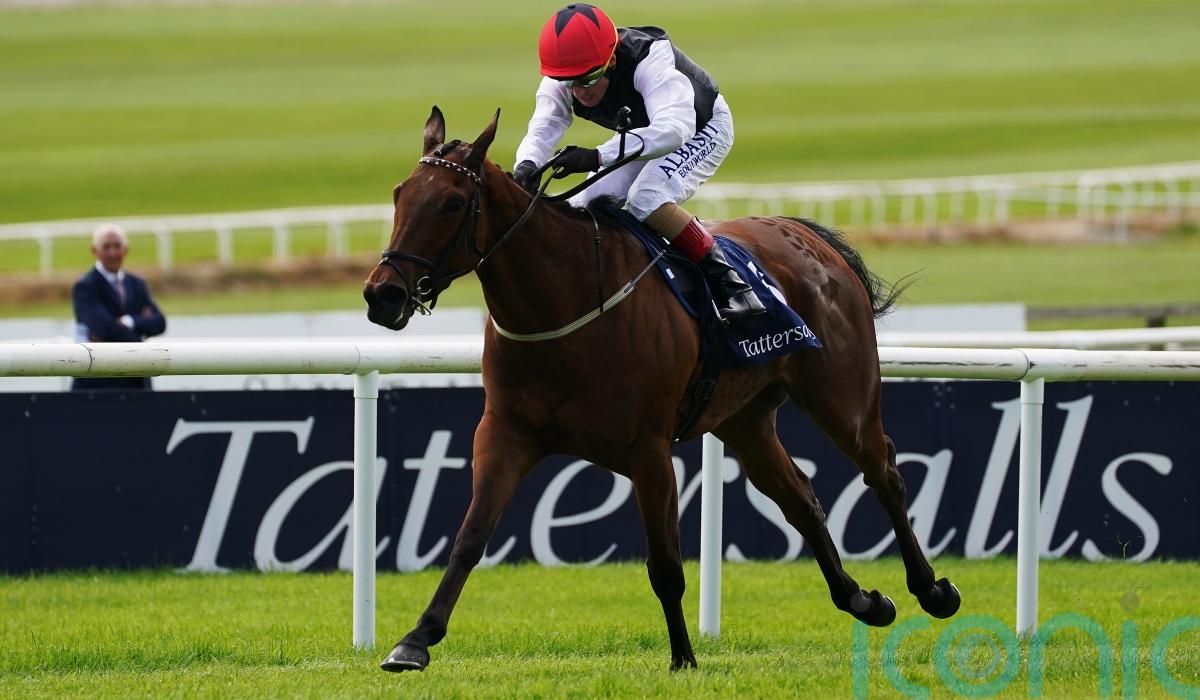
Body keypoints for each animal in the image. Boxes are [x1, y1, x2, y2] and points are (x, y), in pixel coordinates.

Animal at [362, 106, 961, 672]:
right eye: (399, 194)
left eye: (452, 203)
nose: (382, 295)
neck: (565, 299)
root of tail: (812, 239)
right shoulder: (505, 434)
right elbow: (469, 539)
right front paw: (414, 641)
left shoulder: (647, 451)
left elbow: (666, 566)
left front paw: (683, 657)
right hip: (745, 419)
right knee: (800, 497)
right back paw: (863, 600)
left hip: (843, 395)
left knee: (884, 474)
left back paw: (933, 590)